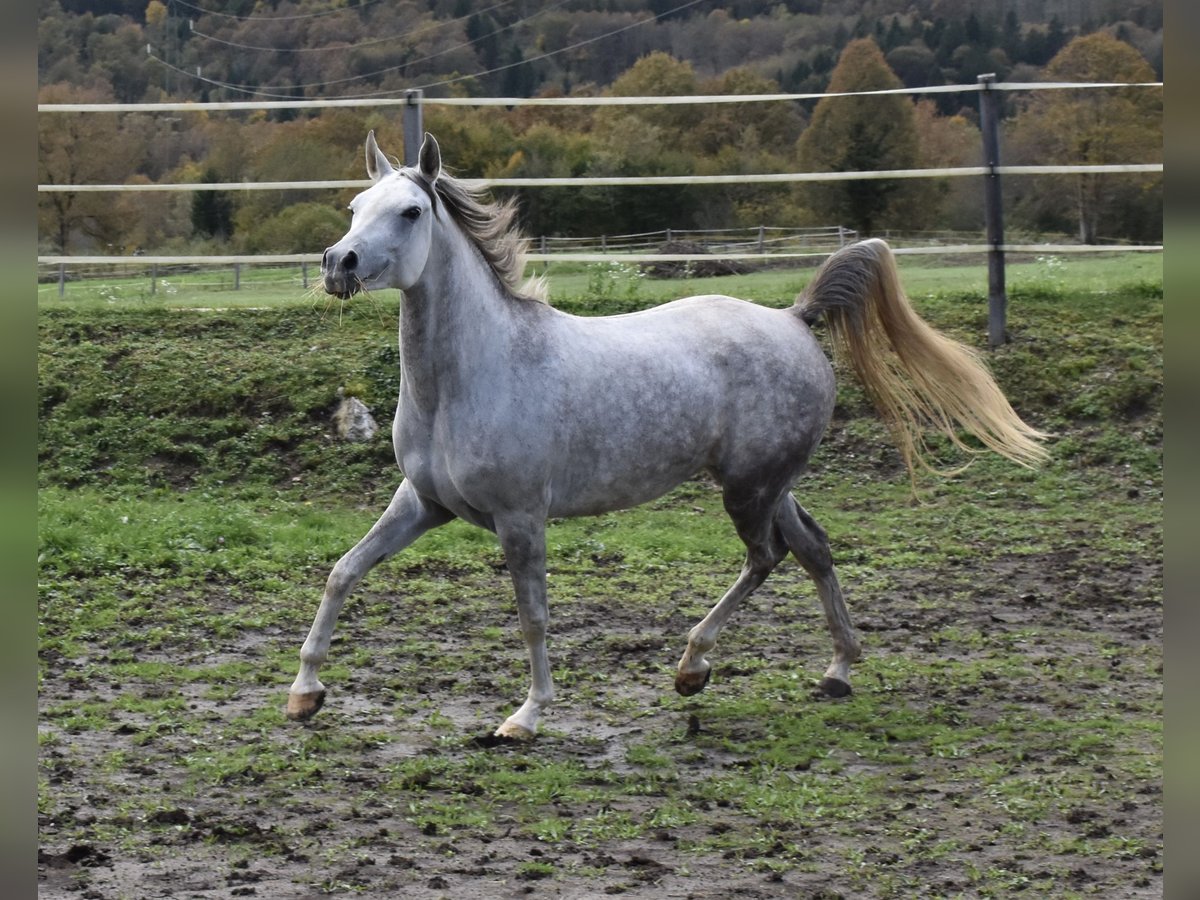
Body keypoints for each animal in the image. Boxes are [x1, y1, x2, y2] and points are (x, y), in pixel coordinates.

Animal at [285, 132, 1046, 739]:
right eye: (355, 207)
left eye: (410, 212)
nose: (337, 265)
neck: (473, 373)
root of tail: (794, 318)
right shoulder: (423, 503)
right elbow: (343, 571)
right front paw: (304, 693)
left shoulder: (521, 517)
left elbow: (533, 616)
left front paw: (526, 717)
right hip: (771, 484)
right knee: (813, 548)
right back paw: (837, 671)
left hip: (748, 488)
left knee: (767, 557)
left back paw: (693, 666)